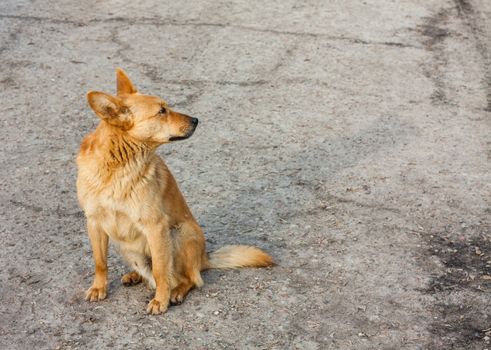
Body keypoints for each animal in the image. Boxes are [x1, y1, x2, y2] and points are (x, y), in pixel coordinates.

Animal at [79, 68, 274, 314]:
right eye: (162, 111)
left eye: (166, 107)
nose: (196, 120)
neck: (117, 166)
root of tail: (204, 258)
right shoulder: (94, 222)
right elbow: (100, 262)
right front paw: (99, 288)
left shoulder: (155, 226)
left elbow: (161, 271)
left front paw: (160, 300)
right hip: (125, 245)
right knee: (151, 271)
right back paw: (135, 275)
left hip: (178, 233)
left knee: (189, 278)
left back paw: (176, 292)